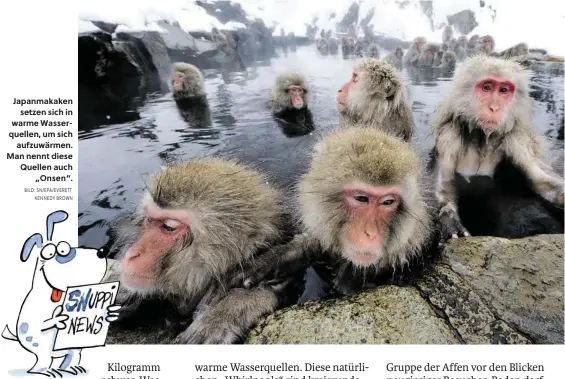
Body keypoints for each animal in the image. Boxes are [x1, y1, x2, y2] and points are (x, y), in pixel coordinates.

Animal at [430, 55, 560, 242]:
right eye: (487, 87)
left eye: (503, 90)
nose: (494, 108)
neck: (482, 139)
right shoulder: (449, 137)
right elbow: (445, 185)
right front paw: (450, 221)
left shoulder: (517, 143)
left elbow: (543, 183)